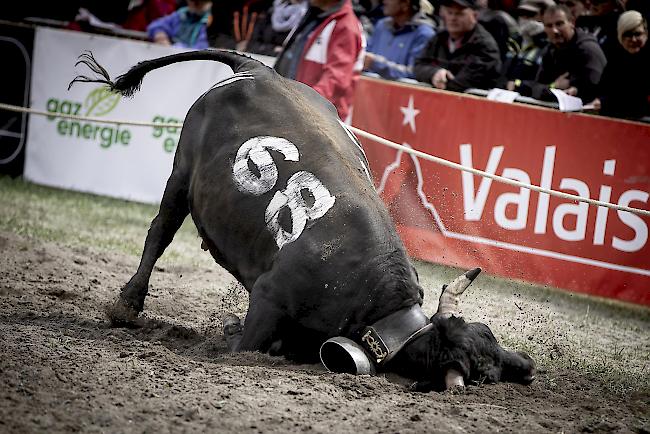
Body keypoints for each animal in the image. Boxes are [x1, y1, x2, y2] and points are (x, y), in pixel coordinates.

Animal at [69, 50, 532, 390]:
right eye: (482, 373)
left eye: (492, 344)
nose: (526, 371)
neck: (373, 296)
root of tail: (259, 69)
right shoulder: (268, 297)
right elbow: (244, 343)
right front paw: (229, 328)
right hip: (181, 174)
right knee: (159, 233)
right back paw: (127, 305)